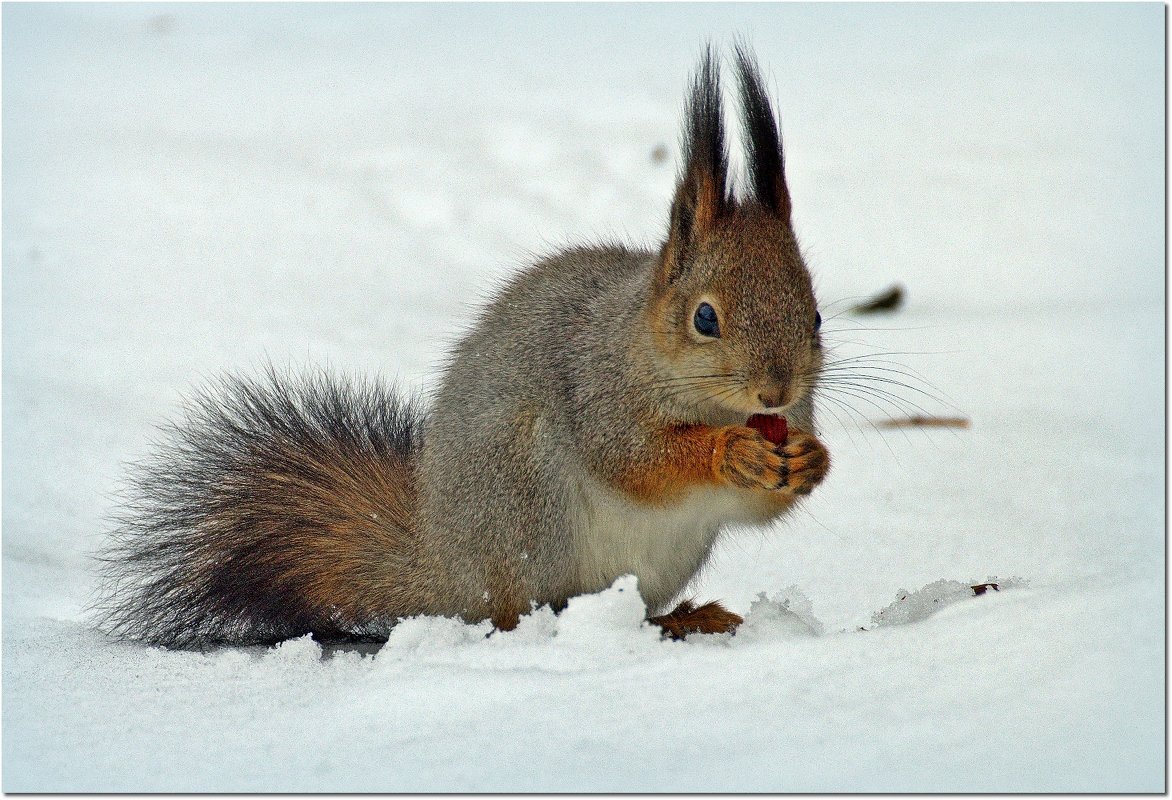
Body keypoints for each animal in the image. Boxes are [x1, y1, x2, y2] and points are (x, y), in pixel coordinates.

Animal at [98, 46, 834, 651]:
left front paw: (811, 459)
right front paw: (727, 452)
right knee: (514, 614)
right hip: (526, 504)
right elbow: (636, 460)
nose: (775, 392)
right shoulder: (596, 389)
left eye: (818, 315)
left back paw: (685, 618)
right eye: (704, 318)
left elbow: (759, 503)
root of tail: (444, 566)